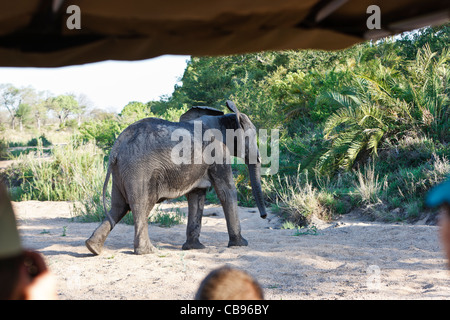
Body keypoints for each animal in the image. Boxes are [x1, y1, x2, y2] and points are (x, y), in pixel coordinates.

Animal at [86, 100, 266, 255]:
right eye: (251, 136)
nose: (264, 217)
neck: (223, 118)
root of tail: (116, 146)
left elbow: (196, 196)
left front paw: (194, 248)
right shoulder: (218, 153)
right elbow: (226, 192)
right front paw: (241, 244)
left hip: (120, 170)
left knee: (118, 207)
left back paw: (93, 248)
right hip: (138, 169)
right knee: (140, 205)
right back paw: (148, 251)